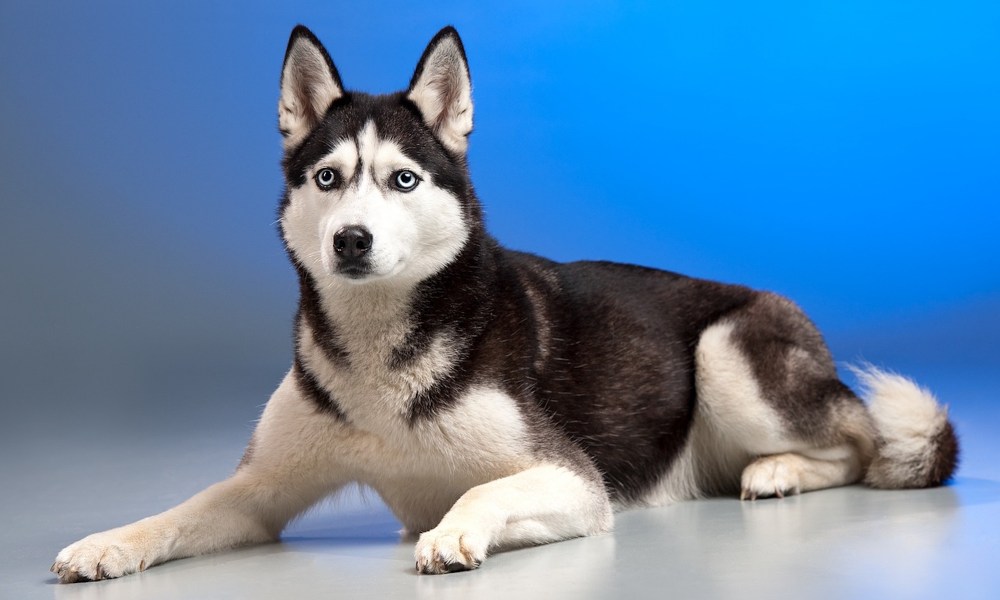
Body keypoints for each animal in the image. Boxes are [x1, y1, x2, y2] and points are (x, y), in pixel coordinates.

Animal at [50, 24, 956, 580]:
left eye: (402, 180)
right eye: (328, 178)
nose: (350, 240)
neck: (381, 355)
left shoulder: (571, 480)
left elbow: (485, 490)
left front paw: (453, 528)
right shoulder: (261, 489)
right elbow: (180, 510)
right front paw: (107, 543)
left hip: (727, 354)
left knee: (861, 445)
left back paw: (780, 471)